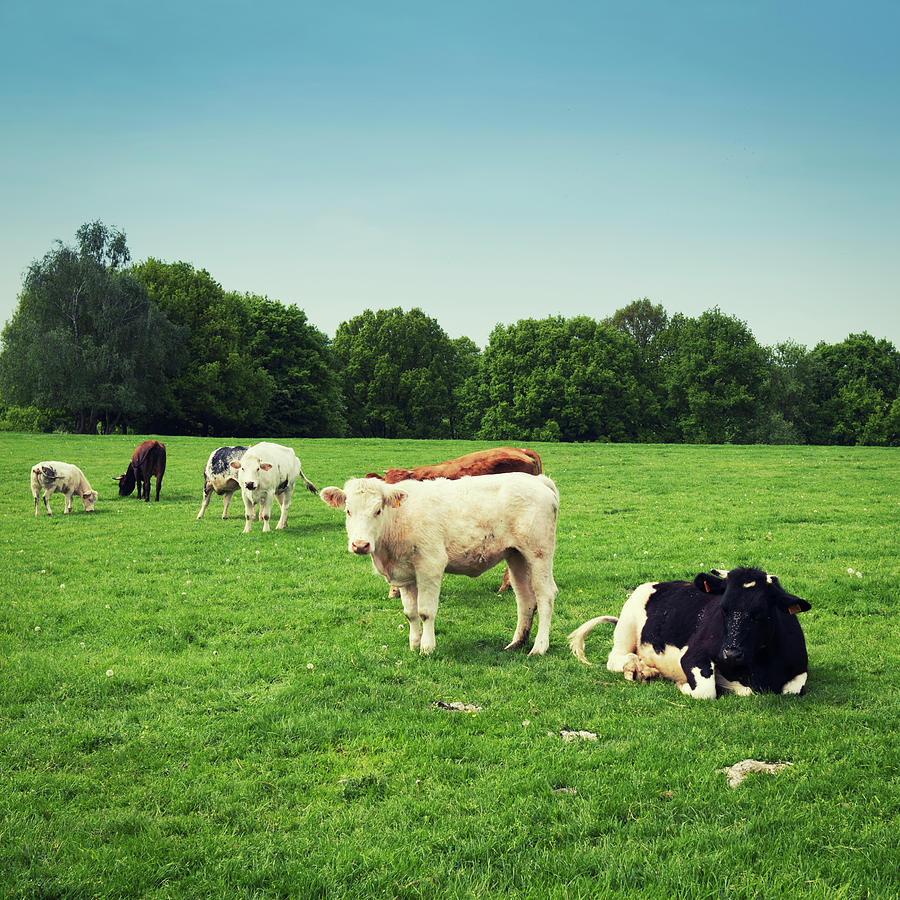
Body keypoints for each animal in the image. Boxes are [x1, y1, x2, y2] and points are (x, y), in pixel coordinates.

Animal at [320, 472, 560, 652]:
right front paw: (414, 644)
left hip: (539, 553)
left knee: (545, 595)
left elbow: (425, 611)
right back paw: (517, 642)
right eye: (348, 511)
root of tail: (538, 479)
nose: (360, 545)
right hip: (516, 555)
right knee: (525, 598)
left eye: (378, 511)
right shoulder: (405, 575)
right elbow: (410, 613)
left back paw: (539, 647)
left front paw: (427, 647)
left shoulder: (430, 565)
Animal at [568, 568, 816, 700]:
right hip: (626, 627)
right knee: (616, 658)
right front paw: (683, 685)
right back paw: (639, 668)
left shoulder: (799, 670)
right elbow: (706, 690)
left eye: (761, 613)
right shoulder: (693, 656)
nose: (730, 653)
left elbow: (793, 690)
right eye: (723, 608)